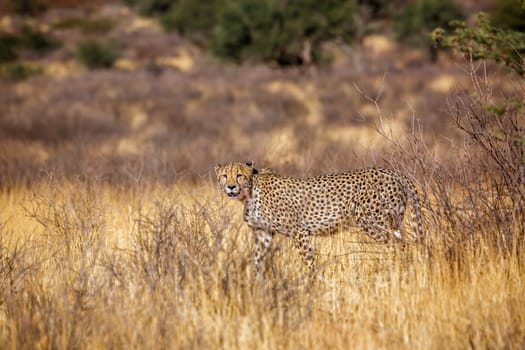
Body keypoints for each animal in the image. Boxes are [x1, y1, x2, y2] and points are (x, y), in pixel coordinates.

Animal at [213, 161, 422, 276]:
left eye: (239, 175)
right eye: (224, 176)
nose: (231, 187)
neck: (248, 192)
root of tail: (394, 172)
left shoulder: (299, 232)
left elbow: (308, 261)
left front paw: (312, 283)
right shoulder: (264, 233)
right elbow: (256, 259)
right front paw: (257, 282)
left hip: (372, 222)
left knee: (397, 245)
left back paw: (396, 269)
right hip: (393, 222)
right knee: (402, 244)